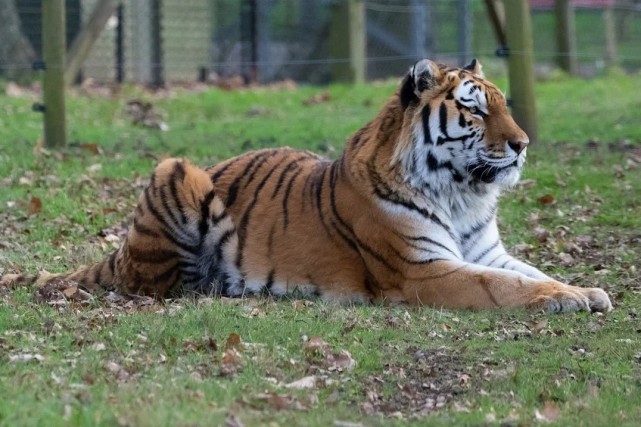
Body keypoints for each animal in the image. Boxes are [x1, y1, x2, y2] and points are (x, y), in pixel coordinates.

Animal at [8, 59, 608, 314]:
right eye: (475, 109)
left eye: (503, 104)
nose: (523, 144)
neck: (462, 193)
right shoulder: (424, 270)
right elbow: (506, 287)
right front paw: (568, 299)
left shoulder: (487, 251)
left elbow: (530, 273)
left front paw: (586, 290)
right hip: (176, 170)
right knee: (151, 284)